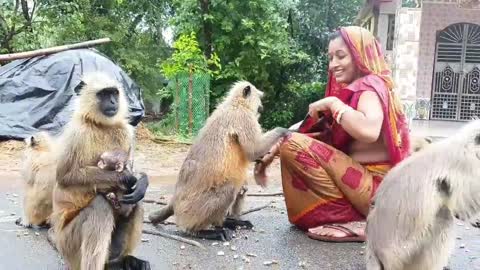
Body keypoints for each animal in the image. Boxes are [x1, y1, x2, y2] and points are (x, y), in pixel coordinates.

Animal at [148, 80, 290, 240]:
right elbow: (254, 150)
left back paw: (230, 222)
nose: (261, 107)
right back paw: (203, 230)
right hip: (190, 209)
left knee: (240, 189)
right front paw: (283, 131)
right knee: (229, 189)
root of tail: (175, 200)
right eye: (259, 98)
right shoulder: (243, 117)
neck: (235, 104)